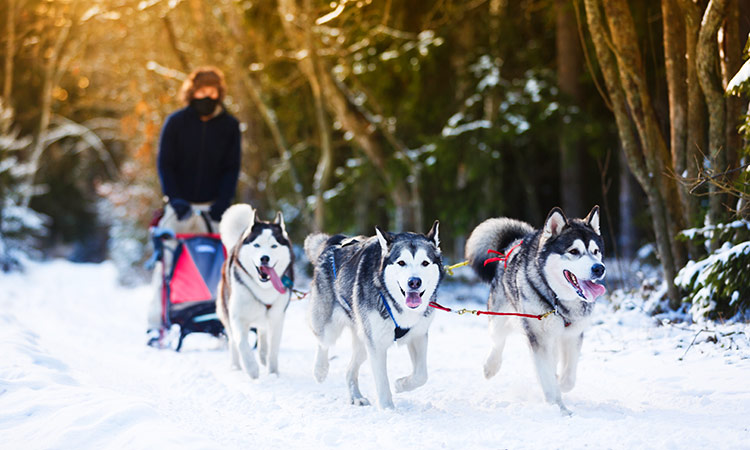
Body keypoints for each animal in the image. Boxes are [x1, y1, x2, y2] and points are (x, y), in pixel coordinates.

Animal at [217, 206, 294, 378]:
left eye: (274, 246)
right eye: (257, 245)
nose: (264, 258)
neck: (263, 289)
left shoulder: (277, 317)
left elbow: (273, 348)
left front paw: (273, 373)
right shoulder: (237, 316)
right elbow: (242, 343)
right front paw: (251, 368)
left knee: (263, 334)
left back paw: (263, 357)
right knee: (233, 341)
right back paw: (236, 366)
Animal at [306, 223, 446, 410]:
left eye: (425, 263)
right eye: (401, 262)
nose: (414, 282)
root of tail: (334, 243)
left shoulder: (418, 335)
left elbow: (421, 375)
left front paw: (401, 384)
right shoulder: (377, 345)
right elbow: (382, 383)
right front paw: (388, 409)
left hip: (363, 342)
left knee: (349, 370)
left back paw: (356, 397)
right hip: (331, 327)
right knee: (323, 342)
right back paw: (320, 370)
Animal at [468, 206, 608, 414]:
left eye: (595, 251)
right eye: (574, 251)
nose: (599, 268)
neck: (559, 302)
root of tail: (514, 242)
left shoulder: (573, 334)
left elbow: (569, 377)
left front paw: (561, 383)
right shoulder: (539, 338)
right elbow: (547, 377)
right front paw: (559, 408)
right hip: (501, 316)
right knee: (498, 339)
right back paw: (491, 366)